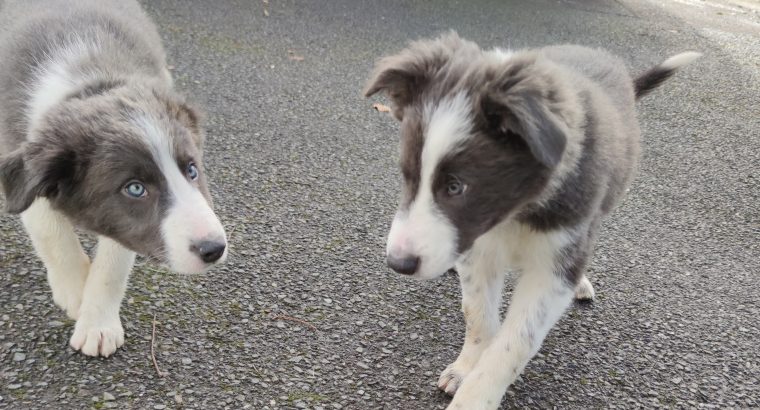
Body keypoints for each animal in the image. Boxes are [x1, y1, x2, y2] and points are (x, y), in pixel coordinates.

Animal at [0, 0, 227, 358]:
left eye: (192, 170)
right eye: (135, 188)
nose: (214, 249)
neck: (90, 83)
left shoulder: (124, 227)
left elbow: (112, 267)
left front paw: (98, 324)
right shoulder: (21, 168)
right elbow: (52, 234)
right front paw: (74, 294)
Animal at [366, 32, 696, 410]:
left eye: (456, 186)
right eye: (407, 176)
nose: (398, 263)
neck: (516, 213)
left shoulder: (553, 268)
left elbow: (515, 343)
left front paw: (474, 397)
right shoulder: (479, 250)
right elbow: (477, 314)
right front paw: (465, 368)